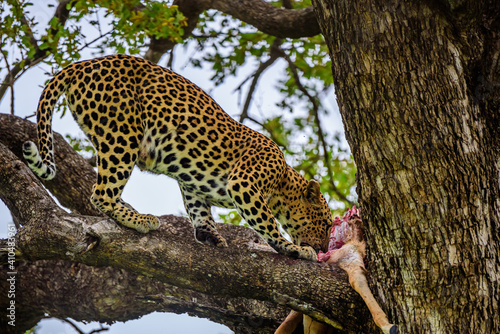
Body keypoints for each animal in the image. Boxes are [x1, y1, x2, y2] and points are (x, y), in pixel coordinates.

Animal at [24, 54, 336, 260]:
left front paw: (210, 235)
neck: (283, 181)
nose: (323, 249)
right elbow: (267, 222)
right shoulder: (244, 183)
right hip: (123, 133)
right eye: (327, 223)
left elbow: (199, 212)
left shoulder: (193, 187)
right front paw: (293, 248)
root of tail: (82, 64)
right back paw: (140, 219)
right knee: (101, 194)